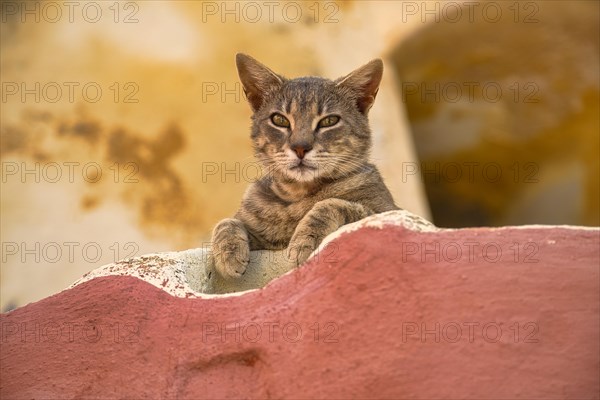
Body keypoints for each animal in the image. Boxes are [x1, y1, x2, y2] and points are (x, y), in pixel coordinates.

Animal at [210, 52, 398, 278]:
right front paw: (228, 252)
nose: (300, 147)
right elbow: (227, 221)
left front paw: (304, 240)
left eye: (329, 121)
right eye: (280, 119)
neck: (297, 195)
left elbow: (333, 203)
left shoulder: (388, 211)